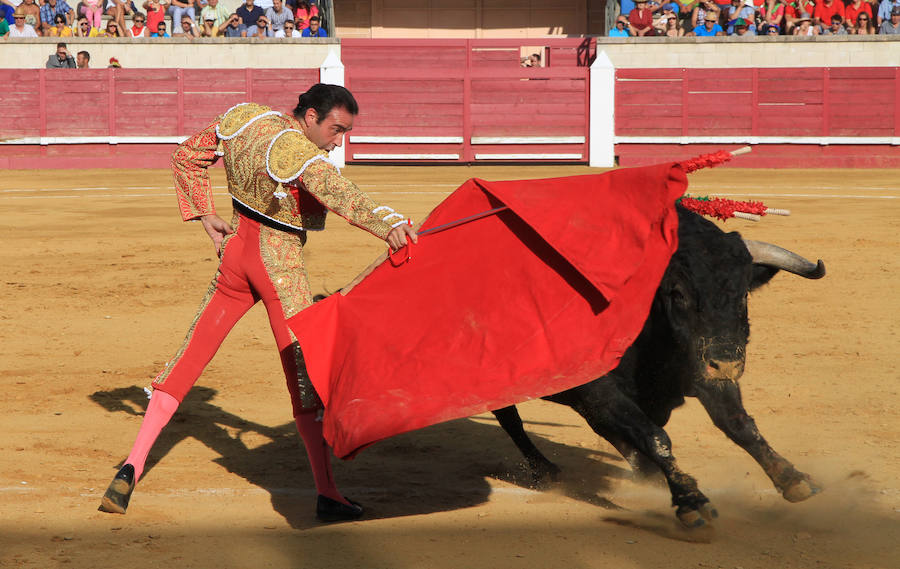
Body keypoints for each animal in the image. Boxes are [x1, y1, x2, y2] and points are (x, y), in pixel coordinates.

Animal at [488, 203, 828, 524]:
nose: (729, 364)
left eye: (743, 292)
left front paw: (792, 478)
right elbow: (654, 436)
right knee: (511, 419)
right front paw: (691, 500)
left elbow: (738, 423)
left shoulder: (701, 368)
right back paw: (545, 469)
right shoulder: (596, 389)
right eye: (677, 293)